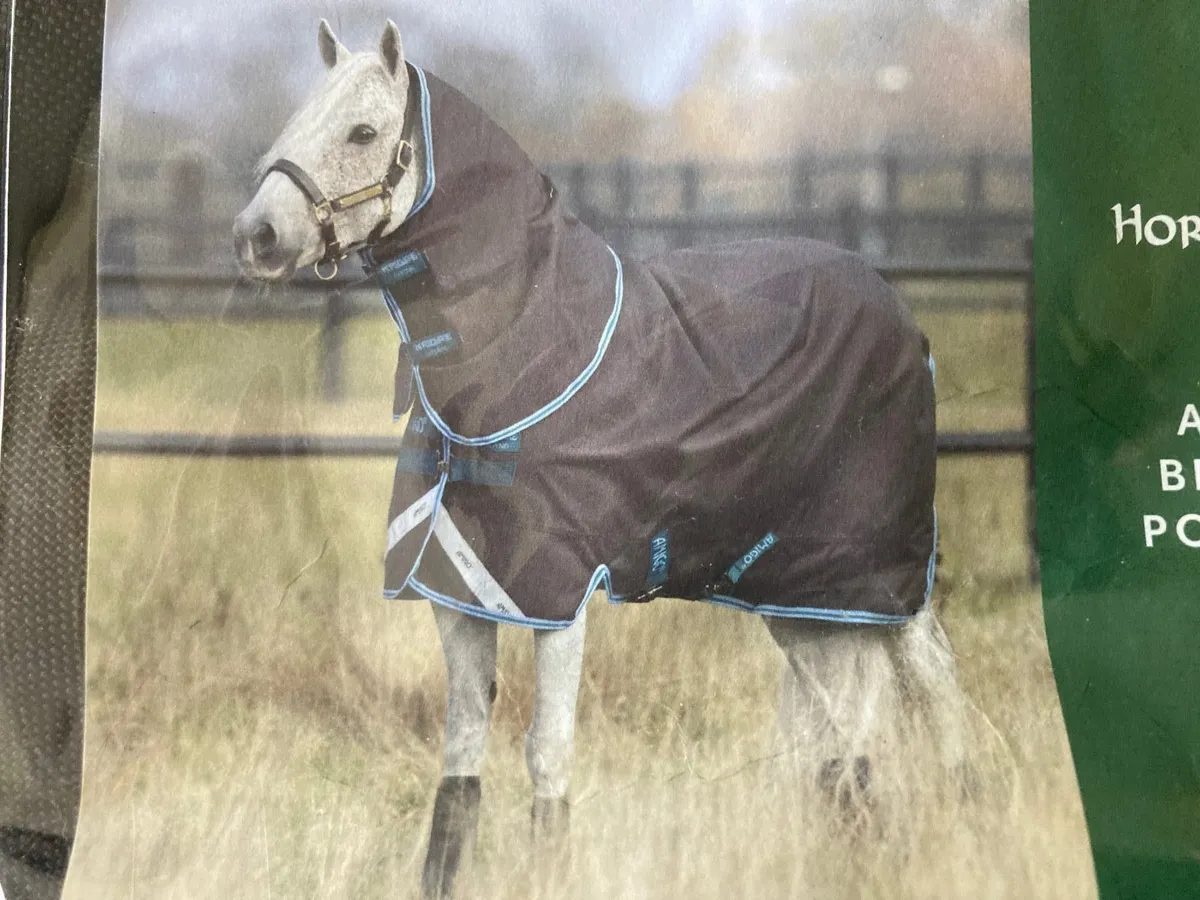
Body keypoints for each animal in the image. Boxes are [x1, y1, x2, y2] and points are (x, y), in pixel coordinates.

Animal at [234, 20, 968, 899]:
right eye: (295, 117)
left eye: (363, 133)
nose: (255, 236)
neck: (524, 350)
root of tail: (898, 309)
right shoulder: (462, 594)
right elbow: (461, 761)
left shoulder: (558, 594)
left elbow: (546, 757)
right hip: (800, 595)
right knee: (841, 735)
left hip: (878, 574)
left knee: (923, 698)